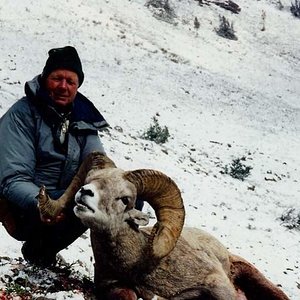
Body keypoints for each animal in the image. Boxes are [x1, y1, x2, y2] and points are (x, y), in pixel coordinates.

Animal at [37, 152, 288, 300]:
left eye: (125, 199)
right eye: (89, 180)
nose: (84, 193)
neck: (140, 265)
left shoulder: (217, 284)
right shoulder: (113, 286)